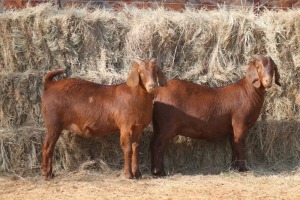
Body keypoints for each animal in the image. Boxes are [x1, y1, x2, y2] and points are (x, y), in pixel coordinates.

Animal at [152, 55, 282, 176]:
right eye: (258, 67)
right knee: (158, 145)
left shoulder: (232, 128)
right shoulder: (239, 122)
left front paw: (233, 168)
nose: (268, 82)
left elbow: (234, 145)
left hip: (158, 125)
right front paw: (242, 168)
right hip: (166, 124)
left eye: (273, 68)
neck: (249, 91)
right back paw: (159, 172)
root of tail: (157, 91)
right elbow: (240, 145)